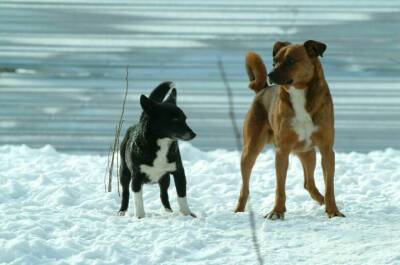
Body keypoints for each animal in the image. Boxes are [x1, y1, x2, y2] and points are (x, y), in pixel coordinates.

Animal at [118, 81, 198, 218]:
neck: (162, 143)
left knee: (163, 194)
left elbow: (182, 195)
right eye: (175, 120)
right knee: (125, 193)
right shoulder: (136, 176)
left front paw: (187, 214)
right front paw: (140, 217)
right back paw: (122, 211)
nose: (194, 134)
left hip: (165, 179)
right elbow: (137, 199)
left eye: (185, 119)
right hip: (124, 172)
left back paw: (168, 211)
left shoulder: (179, 172)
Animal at [236, 40, 346, 219]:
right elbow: (280, 187)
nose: (271, 75)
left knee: (309, 183)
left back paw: (321, 200)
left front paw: (333, 211)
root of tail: (263, 89)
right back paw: (238, 211)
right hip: (250, 150)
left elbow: (330, 186)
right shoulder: (282, 151)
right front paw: (276, 212)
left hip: (308, 153)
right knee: (244, 187)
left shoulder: (326, 150)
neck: (299, 92)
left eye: (291, 61)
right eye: (274, 61)